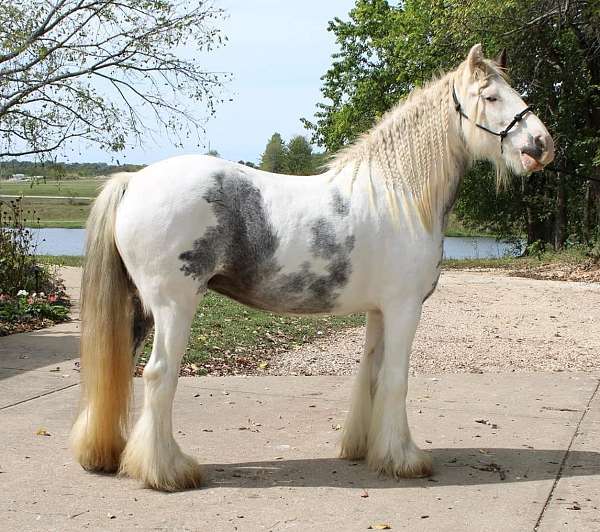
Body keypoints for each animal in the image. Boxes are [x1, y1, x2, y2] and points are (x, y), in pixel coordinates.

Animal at [69, 45, 552, 490]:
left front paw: (365, 449)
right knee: (158, 376)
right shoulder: (404, 308)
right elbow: (396, 379)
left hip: (139, 309)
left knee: (119, 371)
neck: (399, 194)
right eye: (491, 96)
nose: (543, 145)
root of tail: (134, 181)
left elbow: (371, 376)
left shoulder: (379, 312)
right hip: (174, 307)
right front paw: (404, 459)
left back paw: (107, 454)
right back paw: (168, 471)